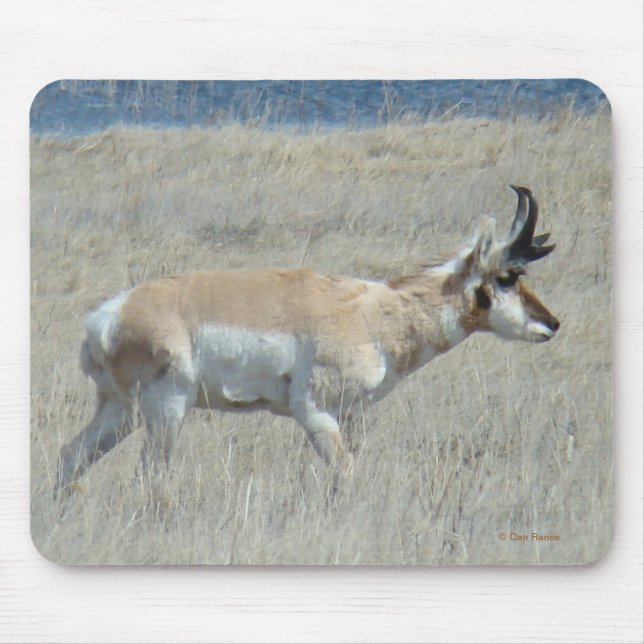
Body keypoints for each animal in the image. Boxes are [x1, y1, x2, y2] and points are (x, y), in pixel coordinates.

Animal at [56, 186, 559, 495]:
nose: (552, 324)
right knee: (148, 476)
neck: (374, 313)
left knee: (71, 455)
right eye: (508, 276)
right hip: (166, 411)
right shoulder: (314, 411)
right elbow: (344, 473)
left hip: (121, 411)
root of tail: (108, 315)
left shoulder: (354, 414)